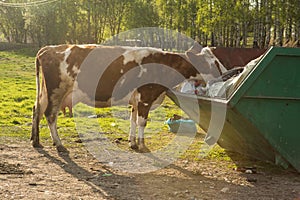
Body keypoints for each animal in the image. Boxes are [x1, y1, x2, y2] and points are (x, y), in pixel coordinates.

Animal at [31, 44, 226, 152]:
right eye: (213, 63)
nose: (224, 74)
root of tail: (48, 48)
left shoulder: (136, 101)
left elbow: (132, 120)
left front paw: (132, 143)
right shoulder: (146, 97)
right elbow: (141, 122)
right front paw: (142, 144)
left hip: (45, 92)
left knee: (37, 110)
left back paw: (36, 141)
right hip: (56, 91)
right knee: (50, 115)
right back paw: (58, 144)